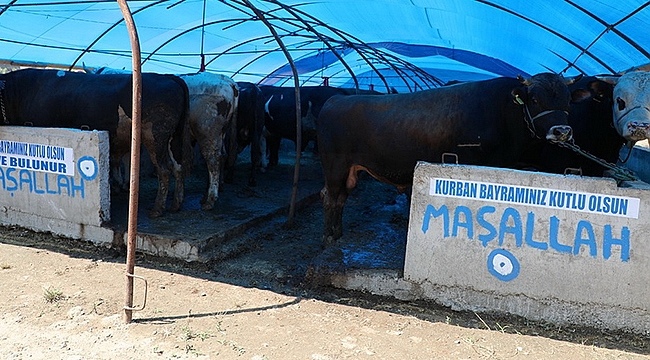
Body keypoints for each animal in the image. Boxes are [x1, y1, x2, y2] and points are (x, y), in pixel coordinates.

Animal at [0, 69, 190, 218]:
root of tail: (167, 76)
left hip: (155, 136)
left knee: (164, 170)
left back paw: (157, 209)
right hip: (173, 138)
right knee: (178, 166)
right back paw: (176, 205)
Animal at [316, 72, 576, 243]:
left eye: (567, 100)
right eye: (535, 99)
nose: (562, 131)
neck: (503, 111)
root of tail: (336, 99)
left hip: (350, 171)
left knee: (341, 198)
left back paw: (337, 234)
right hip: (335, 167)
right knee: (330, 197)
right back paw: (328, 237)